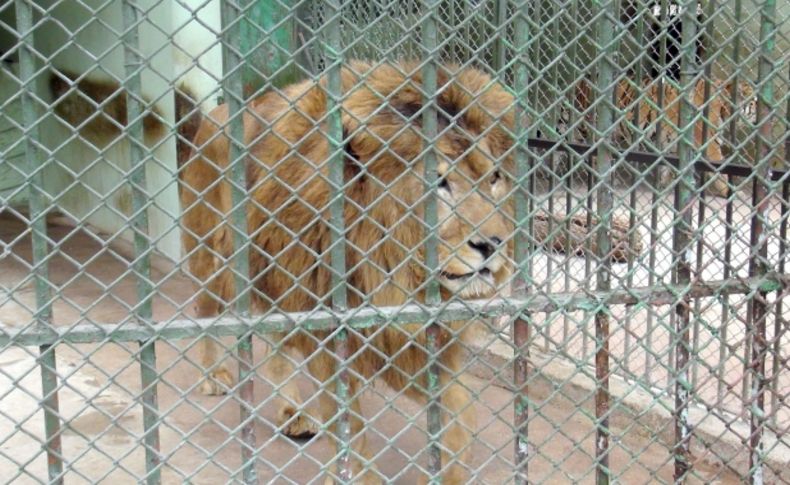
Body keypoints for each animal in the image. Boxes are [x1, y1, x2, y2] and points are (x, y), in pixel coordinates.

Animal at [181, 59, 520, 480]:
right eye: (439, 182)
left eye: (493, 178)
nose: (492, 244)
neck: (390, 272)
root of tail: (217, 112)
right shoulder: (329, 334)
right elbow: (351, 436)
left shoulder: (410, 344)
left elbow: (463, 421)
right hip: (217, 260)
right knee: (206, 312)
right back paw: (214, 376)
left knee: (276, 342)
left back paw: (292, 412)